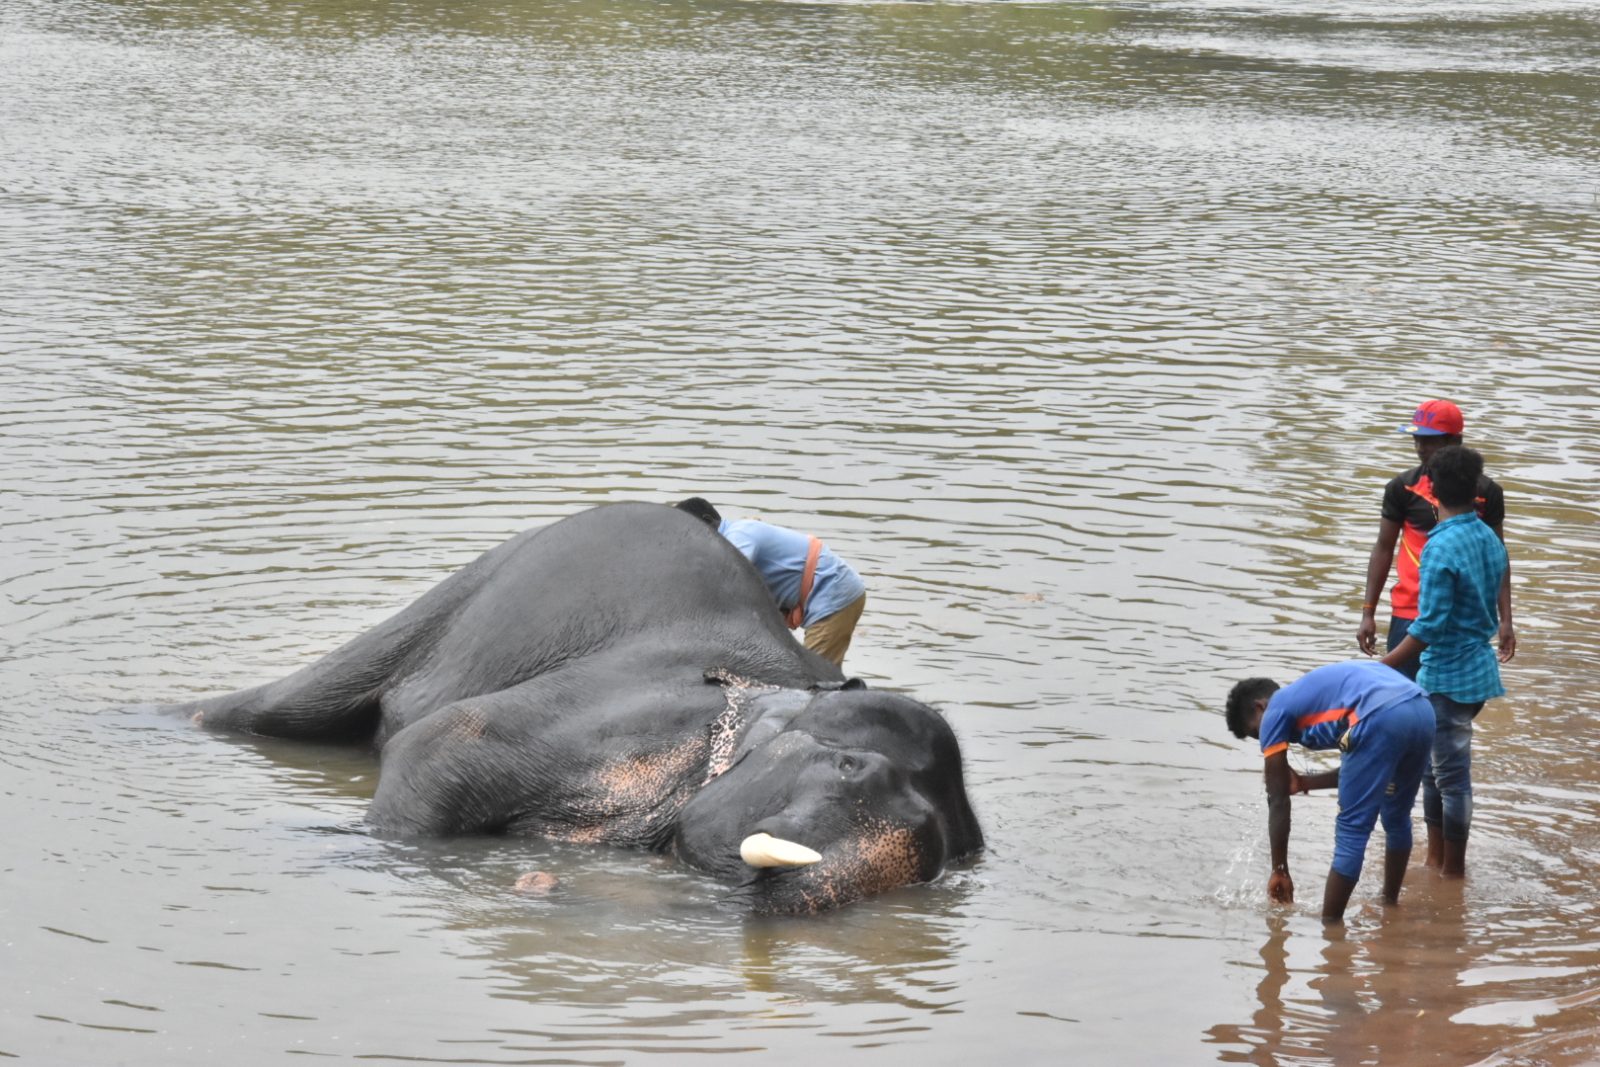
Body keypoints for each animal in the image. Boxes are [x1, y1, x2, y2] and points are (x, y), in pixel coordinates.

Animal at [170, 502, 984, 914]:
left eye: (939, 862)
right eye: (850, 768)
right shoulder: (622, 715)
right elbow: (441, 743)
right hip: (468, 588)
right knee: (279, 709)